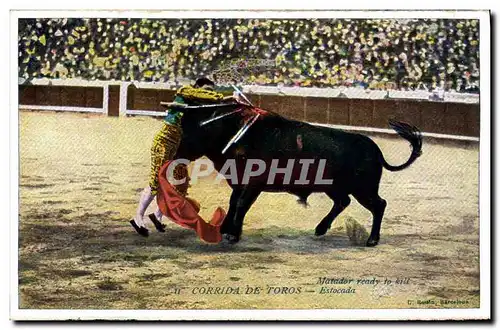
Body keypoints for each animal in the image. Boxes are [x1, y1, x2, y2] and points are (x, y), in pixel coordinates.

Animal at [176, 104, 422, 246]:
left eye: (189, 130)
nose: (175, 153)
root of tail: (375, 150)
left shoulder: (253, 184)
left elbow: (241, 205)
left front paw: (233, 235)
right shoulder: (238, 181)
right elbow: (233, 202)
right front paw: (225, 230)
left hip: (364, 189)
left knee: (379, 205)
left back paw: (372, 240)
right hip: (335, 187)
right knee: (343, 202)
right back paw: (320, 229)